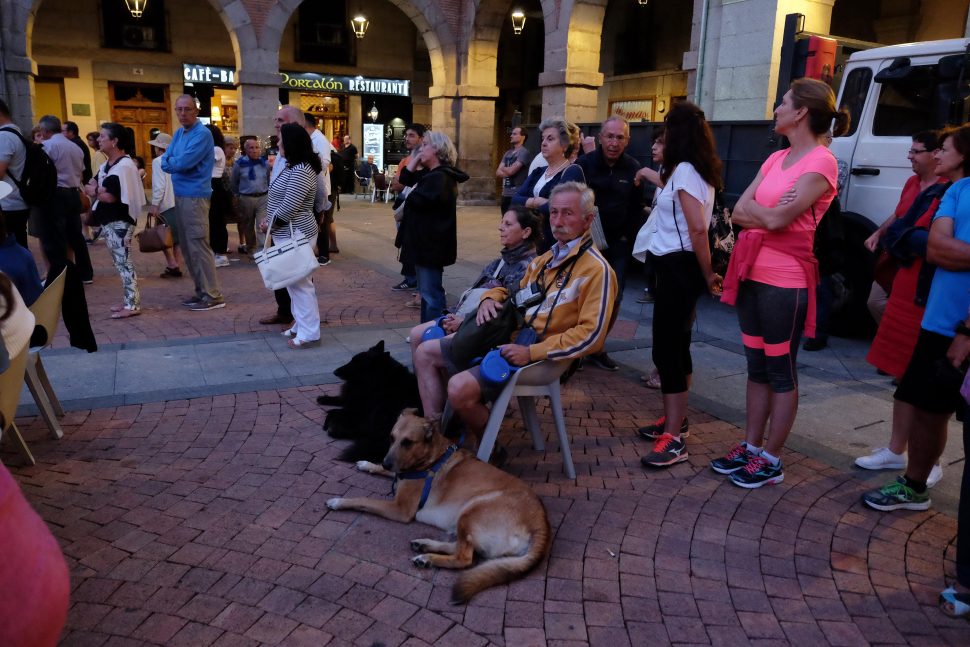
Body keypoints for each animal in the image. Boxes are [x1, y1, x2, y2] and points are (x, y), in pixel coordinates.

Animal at [328, 410, 548, 604]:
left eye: (407, 442)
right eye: (391, 438)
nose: (386, 462)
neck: (431, 458)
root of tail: (542, 524)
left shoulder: (400, 509)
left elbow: (363, 500)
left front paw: (339, 501)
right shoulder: (399, 474)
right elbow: (386, 473)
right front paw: (368, 464)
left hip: (471, 510)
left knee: (464, 558)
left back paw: (428, 557)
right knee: (462, 547)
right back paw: (424, 547)